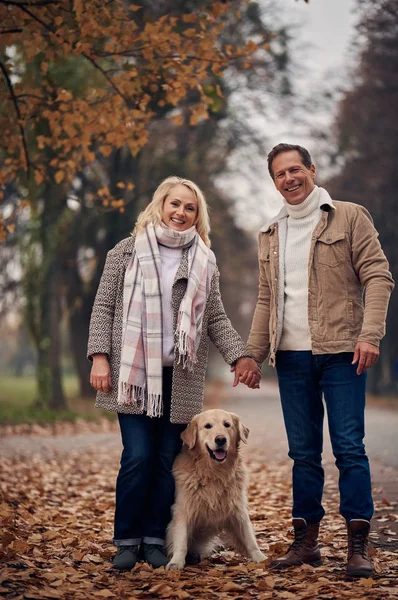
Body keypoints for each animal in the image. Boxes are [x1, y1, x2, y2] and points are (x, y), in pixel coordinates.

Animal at [166, 410, 266, 568]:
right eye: (208, 426)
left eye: (227, 425)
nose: (220, 439)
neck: (214, 473)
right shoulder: (183, 510)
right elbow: (181, 541)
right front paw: (176, 562)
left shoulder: (237, 509)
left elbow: (250, 540)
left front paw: (262, 559)